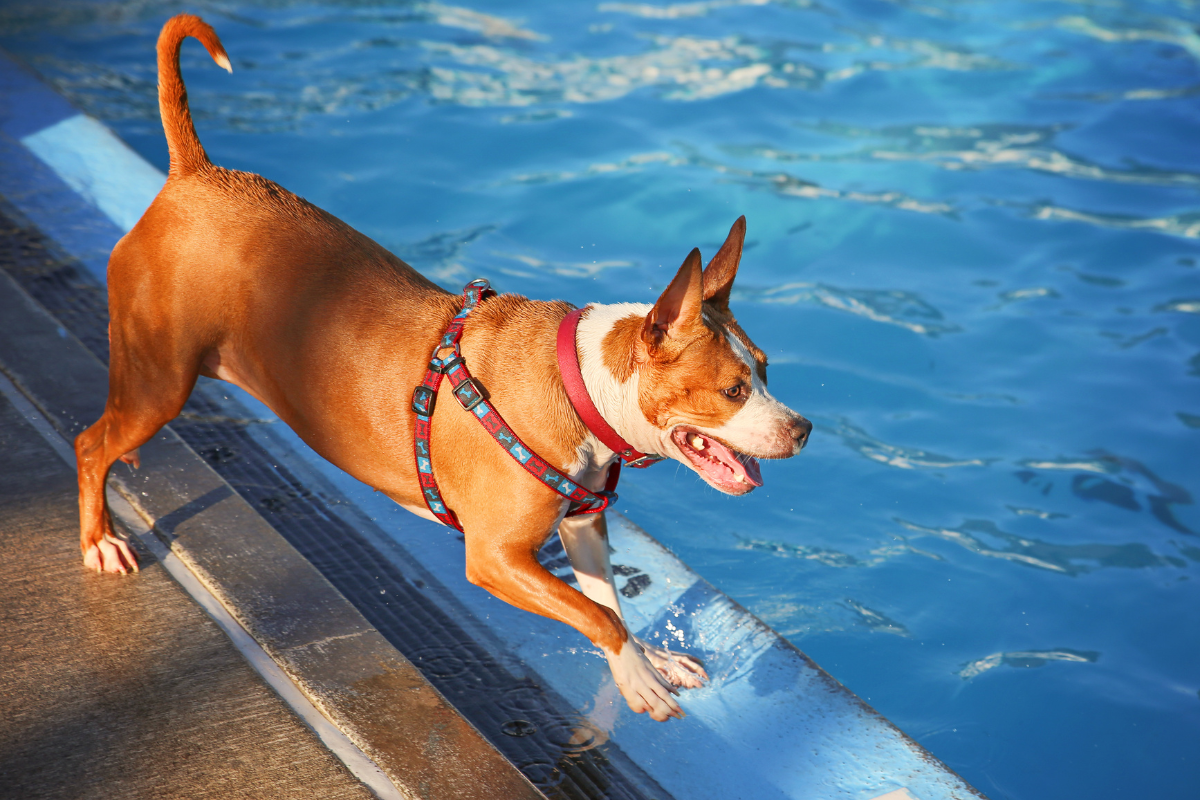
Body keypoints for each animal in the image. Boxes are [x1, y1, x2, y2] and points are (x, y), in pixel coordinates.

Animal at [77, 14, 816, 724]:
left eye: (768, 370)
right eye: (733, 389)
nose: (804, 429)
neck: (579, 385)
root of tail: (195, 174)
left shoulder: (582, 526)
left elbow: (610, 604)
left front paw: (648, 660)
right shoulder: (493, 557)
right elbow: (596, 614)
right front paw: (639, 680)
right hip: (159, 384)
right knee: (91, 444)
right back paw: (99, 541)